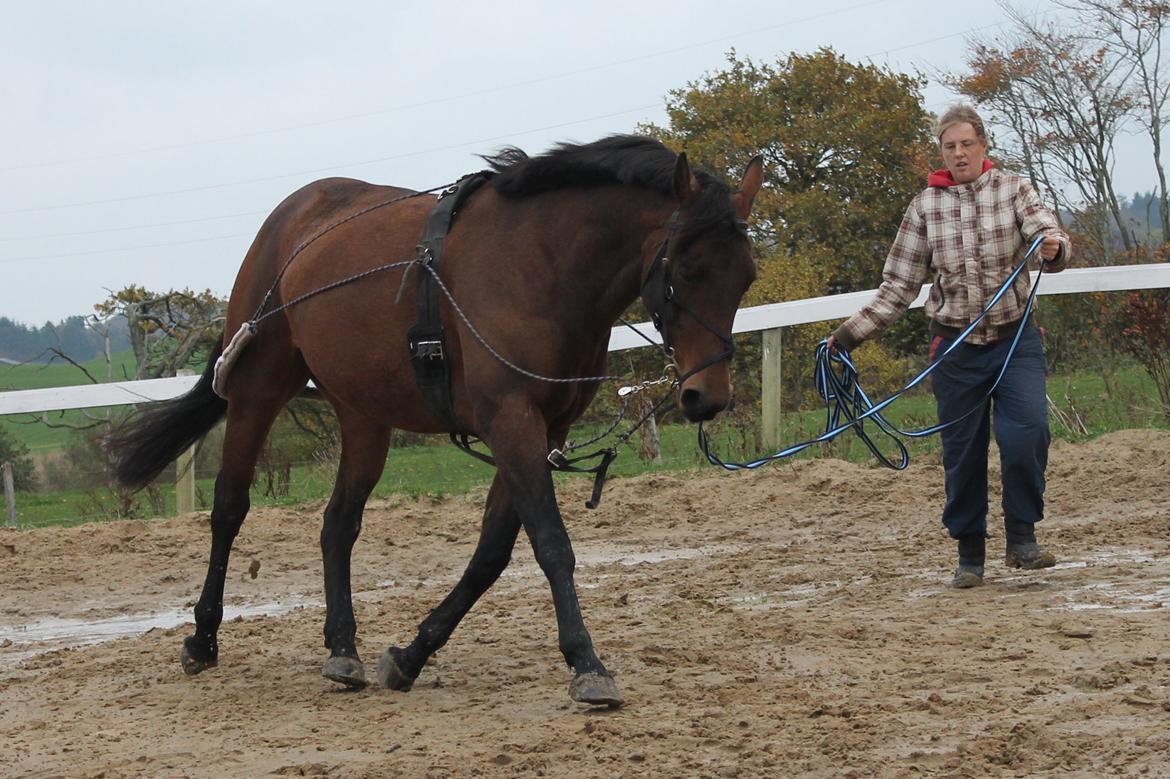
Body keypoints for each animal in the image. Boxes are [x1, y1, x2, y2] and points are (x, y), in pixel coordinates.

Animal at [107, 133, 767, 701]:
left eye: (746, 275)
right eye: (687, 271)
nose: (707, 396)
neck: (539, 264)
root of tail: (291, 218)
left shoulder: (542, 429)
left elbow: (491, 554)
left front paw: (410, 655)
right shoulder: (511, 421)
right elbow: (551, 543)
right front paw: (586, 663)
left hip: (364, 417)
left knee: (337, 525)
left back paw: (342, 649)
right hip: (257, 391)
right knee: (229, 509)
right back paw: (203, 638)